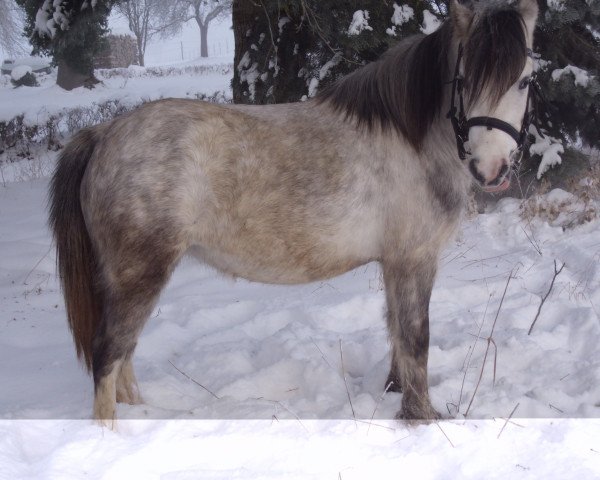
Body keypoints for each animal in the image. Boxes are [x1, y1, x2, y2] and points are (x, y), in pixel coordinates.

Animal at [50, 0, 540, 424]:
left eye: (524, 81)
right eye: (465, 79)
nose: (491, 168)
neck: (410, 140)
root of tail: (104, 133)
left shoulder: (394, 263)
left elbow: (397, 332)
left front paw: (396, 393)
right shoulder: (413, 258)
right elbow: (416, 336)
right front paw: (420, 416)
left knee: (125, 356)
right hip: (139, 275)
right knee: (108, 353)